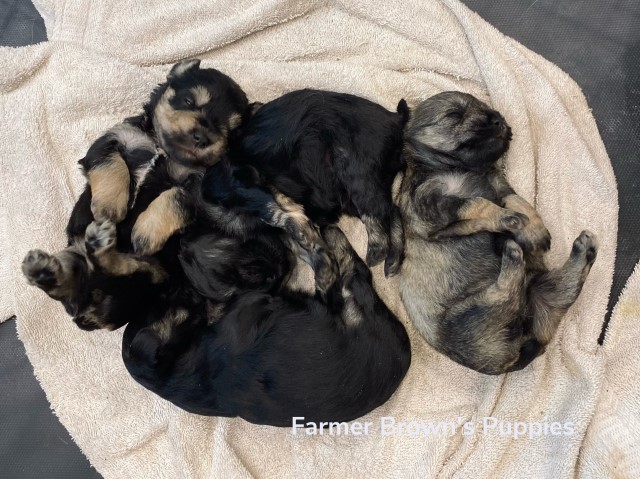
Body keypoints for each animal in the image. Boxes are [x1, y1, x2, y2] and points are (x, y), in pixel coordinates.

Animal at [400, 90, 600, 376]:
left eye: (485, 108)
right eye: (454, 115)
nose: (497, 119)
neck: (460, 169)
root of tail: (520, 349)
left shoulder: (500, 188)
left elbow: (519, 202)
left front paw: (534, 230)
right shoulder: (433, 209)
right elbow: (478, 203)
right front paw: (509, 220)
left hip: (543, 293)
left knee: (566, 288)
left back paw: (584, 251)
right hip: (475, 312)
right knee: (506, 293)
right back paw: (513, 251)